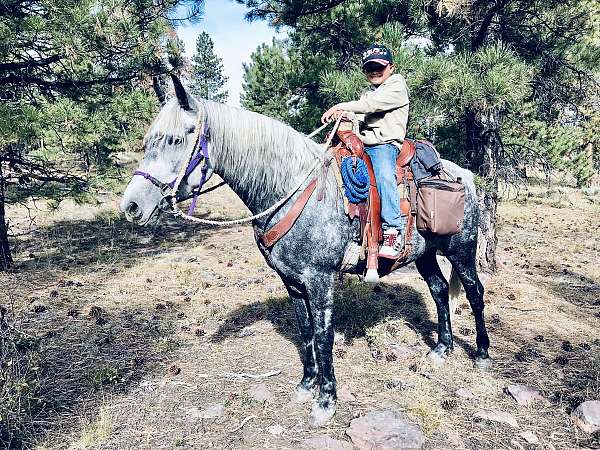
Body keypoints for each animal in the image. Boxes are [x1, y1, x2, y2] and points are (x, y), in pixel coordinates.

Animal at [119, 75, 490, 428]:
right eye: (149, 141)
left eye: (174, 139)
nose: (132, 206)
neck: (291, 188)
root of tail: (465, 175)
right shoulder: (292, 282)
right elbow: (306, 330)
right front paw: (306, 385)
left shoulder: (320, 280)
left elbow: (324, 336)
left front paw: (326, 401)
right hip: (425, 254)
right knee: (439, 290)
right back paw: (442, 348)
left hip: (461, 250)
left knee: (474, 292)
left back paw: (482, 353)